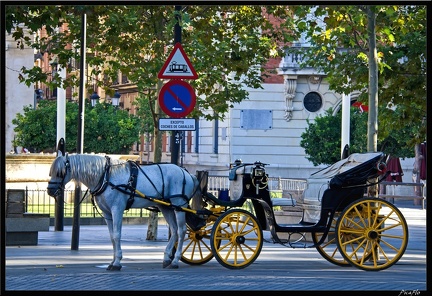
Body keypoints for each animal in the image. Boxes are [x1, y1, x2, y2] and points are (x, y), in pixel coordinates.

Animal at [47, 153, 201, 270]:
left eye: (60, 172)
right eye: (51, 172)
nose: (49, 191)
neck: (106, 177)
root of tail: (187, 173)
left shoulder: (117, 210)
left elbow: (116, 235)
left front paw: (117, 262)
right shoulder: (107, 213)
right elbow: (112, 237)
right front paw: (113, 260)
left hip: (178, 206)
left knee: (181, 231)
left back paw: (175, 260)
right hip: (166, 207)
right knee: (174, 231)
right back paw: (167, 258)